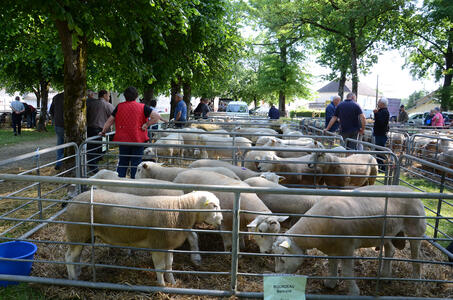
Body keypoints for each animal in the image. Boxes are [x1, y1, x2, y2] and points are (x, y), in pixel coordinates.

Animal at [64, 190, 222, 286]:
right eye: (213, 205)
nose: (221, 220)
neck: (180, 210)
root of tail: (73, 201)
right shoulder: (157, 244)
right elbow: (160, 267)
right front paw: (162, 285)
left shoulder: (167, 244)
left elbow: (169, 266)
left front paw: (172, 282)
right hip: (76, 232)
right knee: (69, 257)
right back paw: (72, 278)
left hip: (83, 235)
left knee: (77, 256)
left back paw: (78, 273)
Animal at [272, 185, 424, 296]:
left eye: (282, 258)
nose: (276, 273)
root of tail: (411, 191)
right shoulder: (332, 247)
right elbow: (332, 266)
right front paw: (330, 284)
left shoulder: (347, 247)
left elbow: (346, 272)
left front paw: (354, 292)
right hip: (388, 231)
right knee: (390, 250)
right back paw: (385, 275)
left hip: (416, 230)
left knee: (416, 258)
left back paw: (416, 281)